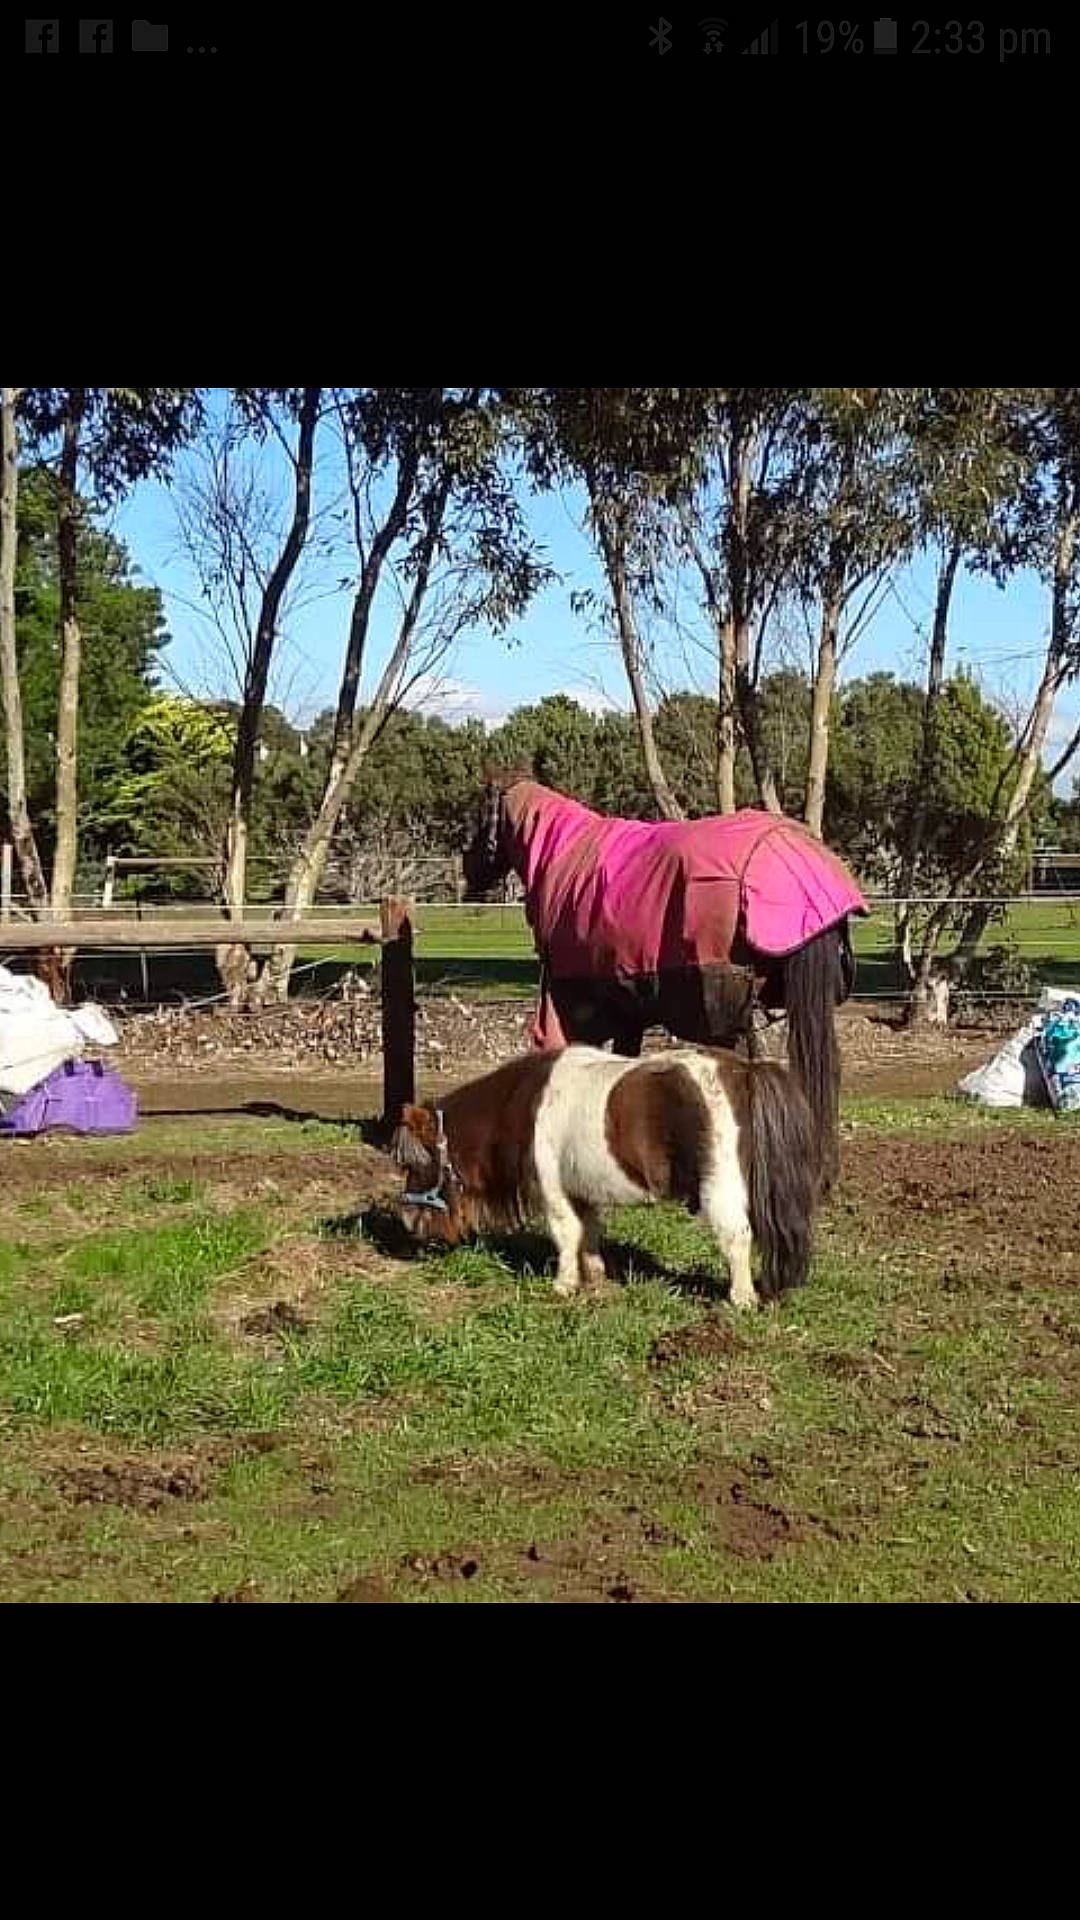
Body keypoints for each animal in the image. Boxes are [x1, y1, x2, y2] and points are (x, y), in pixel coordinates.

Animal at [391, 1044, 819, 1309]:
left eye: (414, 1164)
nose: (407, 1222)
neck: (527, 1106)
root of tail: (744, 1070)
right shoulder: (582, 1189)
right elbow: (590, 1231)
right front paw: (595, 1275)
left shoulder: (552, 1189)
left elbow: (565, 1234)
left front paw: (564, 1285)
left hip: (720, 1188)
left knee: (737, 1237)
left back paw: (742, 1299)